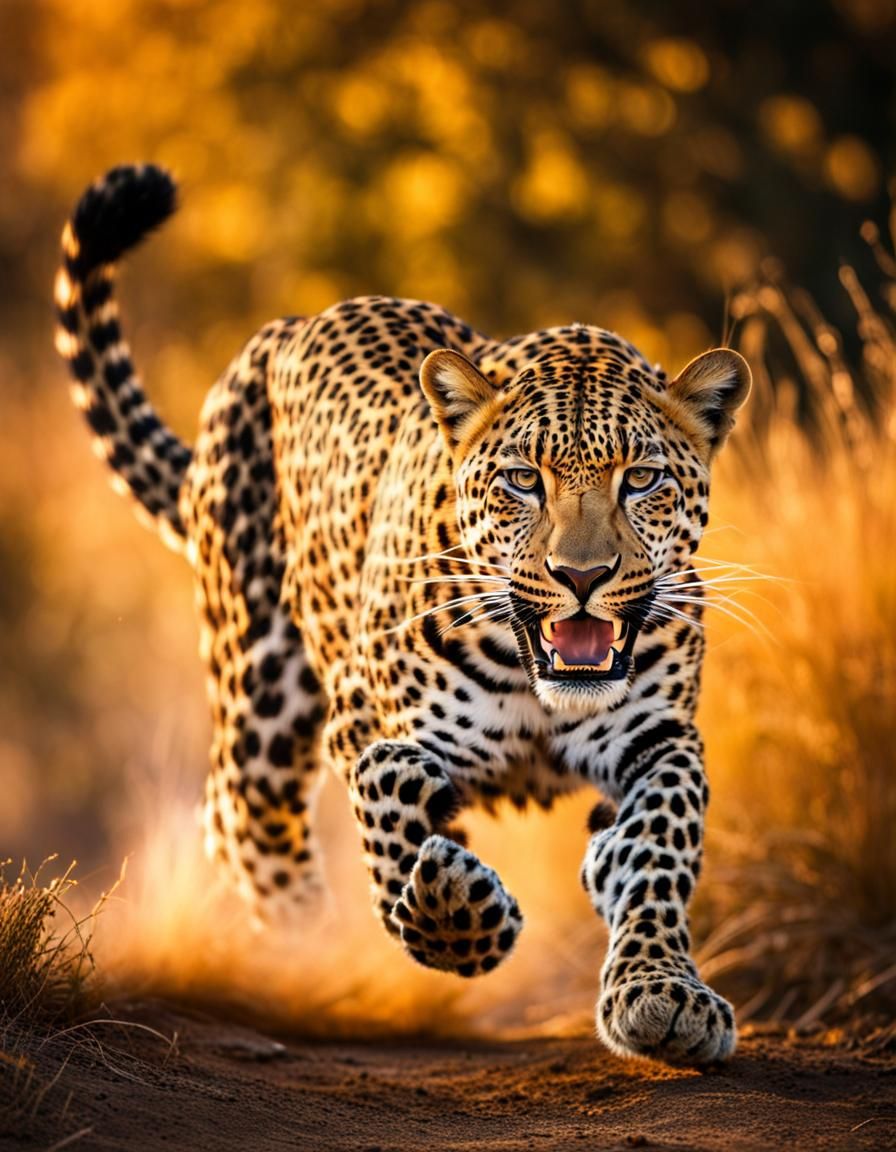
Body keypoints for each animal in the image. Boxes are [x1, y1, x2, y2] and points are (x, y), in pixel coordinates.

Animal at [55, 165, 751, 1065]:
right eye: (523, 480)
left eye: (641, 479)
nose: (582, 576)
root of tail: (279, 331)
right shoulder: (363, 718)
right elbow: (389, 795)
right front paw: (455, 913)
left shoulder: (657, 737)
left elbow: (656, 847)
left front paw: (661, 993)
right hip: (260, 691)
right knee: (246, 821)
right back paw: (300, 963)